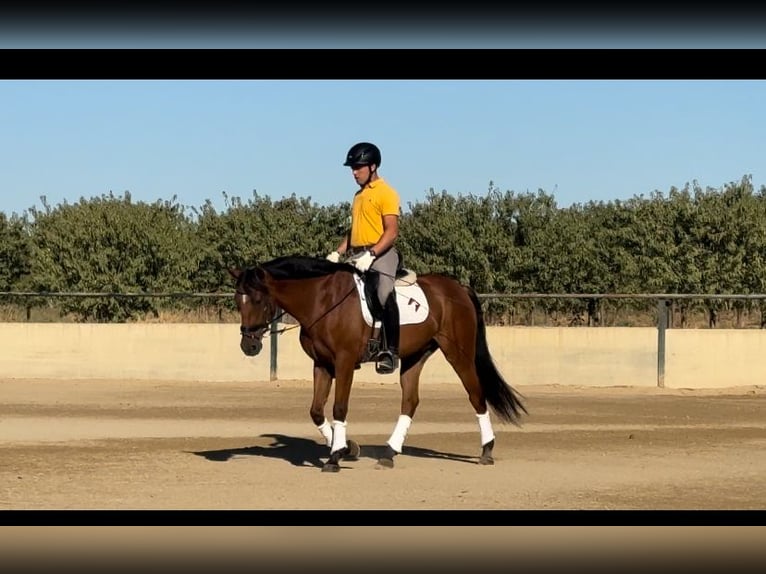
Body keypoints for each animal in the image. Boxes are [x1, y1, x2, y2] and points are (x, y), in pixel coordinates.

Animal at [229, 254, 527, 473]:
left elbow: (339, 407)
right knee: (410, 402)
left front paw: (335, 457)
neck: (322, 300)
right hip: (414, 356)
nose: (248, 346)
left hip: (458, 353)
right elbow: (316, 411)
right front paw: (347, 448)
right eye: (237, 301)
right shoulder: (322, 364)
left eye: (258, 299)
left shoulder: (344, 362)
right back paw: (389, 453)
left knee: (476, 394)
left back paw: (487, 450)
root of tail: (458, 288)